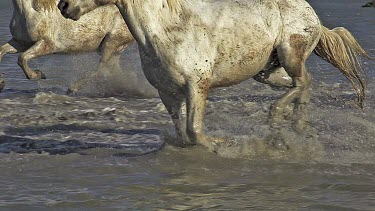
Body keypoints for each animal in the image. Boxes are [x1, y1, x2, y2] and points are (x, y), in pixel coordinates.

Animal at [0, 0, 135, 93]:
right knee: (112, 69)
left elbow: (22, 58)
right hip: (113, 48)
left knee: (102, 68)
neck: (32, 10)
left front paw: (38, 75)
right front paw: (1, 82)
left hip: (111, 42)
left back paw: (73, 88)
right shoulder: (20, 42)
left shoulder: (46, 44)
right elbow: (2, 51)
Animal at [58, 0, 374, 148]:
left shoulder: (198, 85)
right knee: (304, 84)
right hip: (266, 72)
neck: (166, 30)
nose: (64, 6)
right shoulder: (168, 92)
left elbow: (195, 130)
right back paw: (297, 126)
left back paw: (277, 117)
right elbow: (182, 132)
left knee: (302, 82)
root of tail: (312, 14)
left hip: (290, 54)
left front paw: (223, 144)